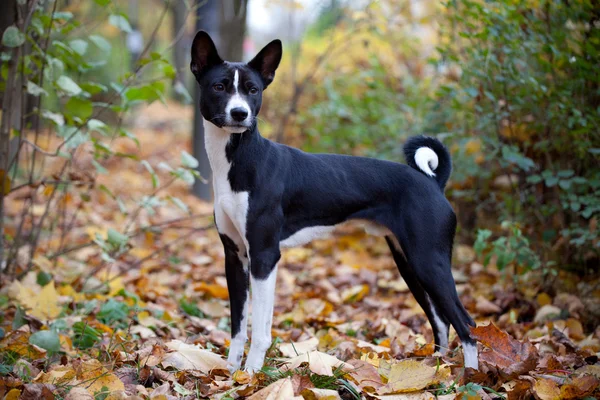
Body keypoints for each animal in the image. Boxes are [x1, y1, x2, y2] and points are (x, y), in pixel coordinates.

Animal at [190, 30, 480, 372]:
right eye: (219, 87)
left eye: (252, 90)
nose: (239, 114)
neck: (239, 161)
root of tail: (434, 182)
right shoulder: (235, 256)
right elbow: (237, 327)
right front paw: (232, 373)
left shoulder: (264, 256)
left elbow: (259, 330)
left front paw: (250, 374)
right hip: (410, 262)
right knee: (441, 320)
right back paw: (433, 370)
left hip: (428, 261)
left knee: (466, 324)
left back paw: (470, 377)